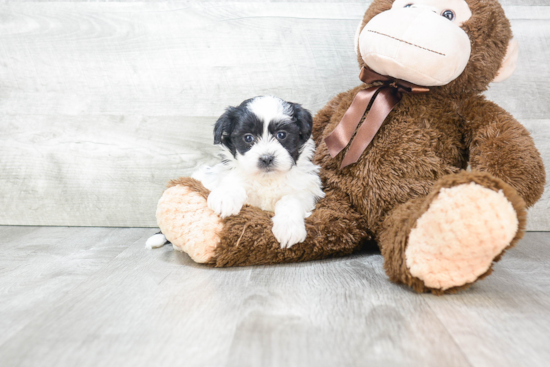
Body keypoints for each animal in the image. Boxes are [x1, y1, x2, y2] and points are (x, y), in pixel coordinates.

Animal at [147, 95, 326, 250]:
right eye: (248, 138)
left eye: (282, 135)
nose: (266, 158)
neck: (267, 178)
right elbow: (235, 183)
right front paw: (225, 198)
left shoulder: (305, 190)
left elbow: (290, 200)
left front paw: (289, 227)